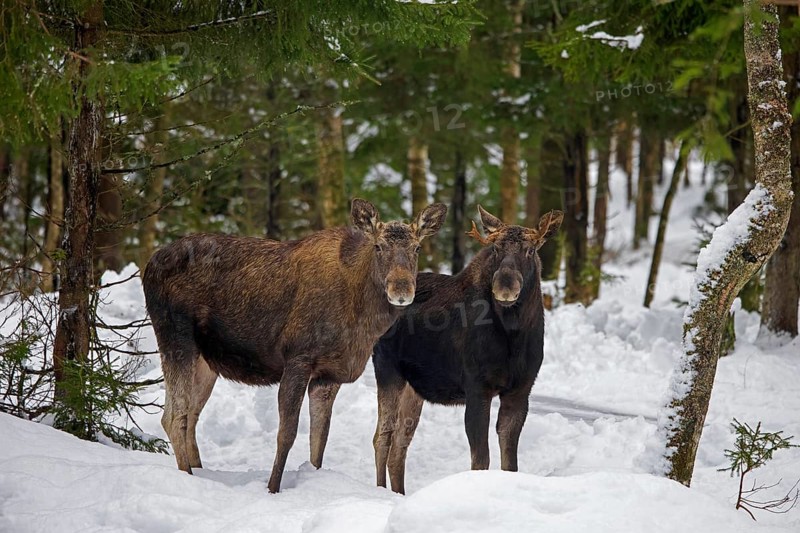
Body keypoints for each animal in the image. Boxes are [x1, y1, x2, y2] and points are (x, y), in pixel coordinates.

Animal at [143, 199, 447, 493]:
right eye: (378, 246)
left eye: (417, 247)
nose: (401, 289)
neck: (362, 321)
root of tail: (149, 266)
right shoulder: (298, 358)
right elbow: (286, 434)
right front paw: (272, 488)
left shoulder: (328, 375)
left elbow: (319, 439)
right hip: (175, 336)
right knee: (173, 416)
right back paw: (187, 475)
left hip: (206, 361)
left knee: (191, 415)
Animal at [371, 206, 563, 494]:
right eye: (496, 249)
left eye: (530, 250)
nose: (505, 285)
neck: (514, 333)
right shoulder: (476, 387)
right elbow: (480, 459)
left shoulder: (520, 390)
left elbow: (510, 463)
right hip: (387, 371)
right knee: (382, 437)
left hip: (413, 388)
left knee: (399, 445)